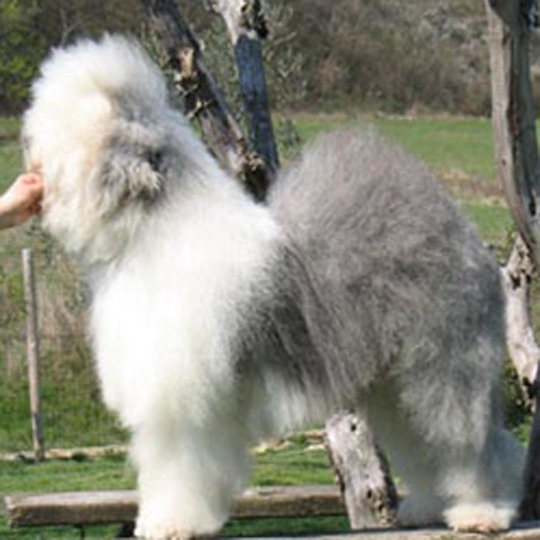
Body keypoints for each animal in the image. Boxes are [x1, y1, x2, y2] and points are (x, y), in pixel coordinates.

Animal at [23, 35, 524, 539]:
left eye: (62, 130)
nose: (31, 163)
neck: (149, 233)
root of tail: (455, 224)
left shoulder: (185, 401)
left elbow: (179, 470)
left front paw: (172, 522)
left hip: (443, 365)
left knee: (473, 445)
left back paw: (483, 512)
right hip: (393, 384)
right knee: (422, 443)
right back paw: (427, 506)